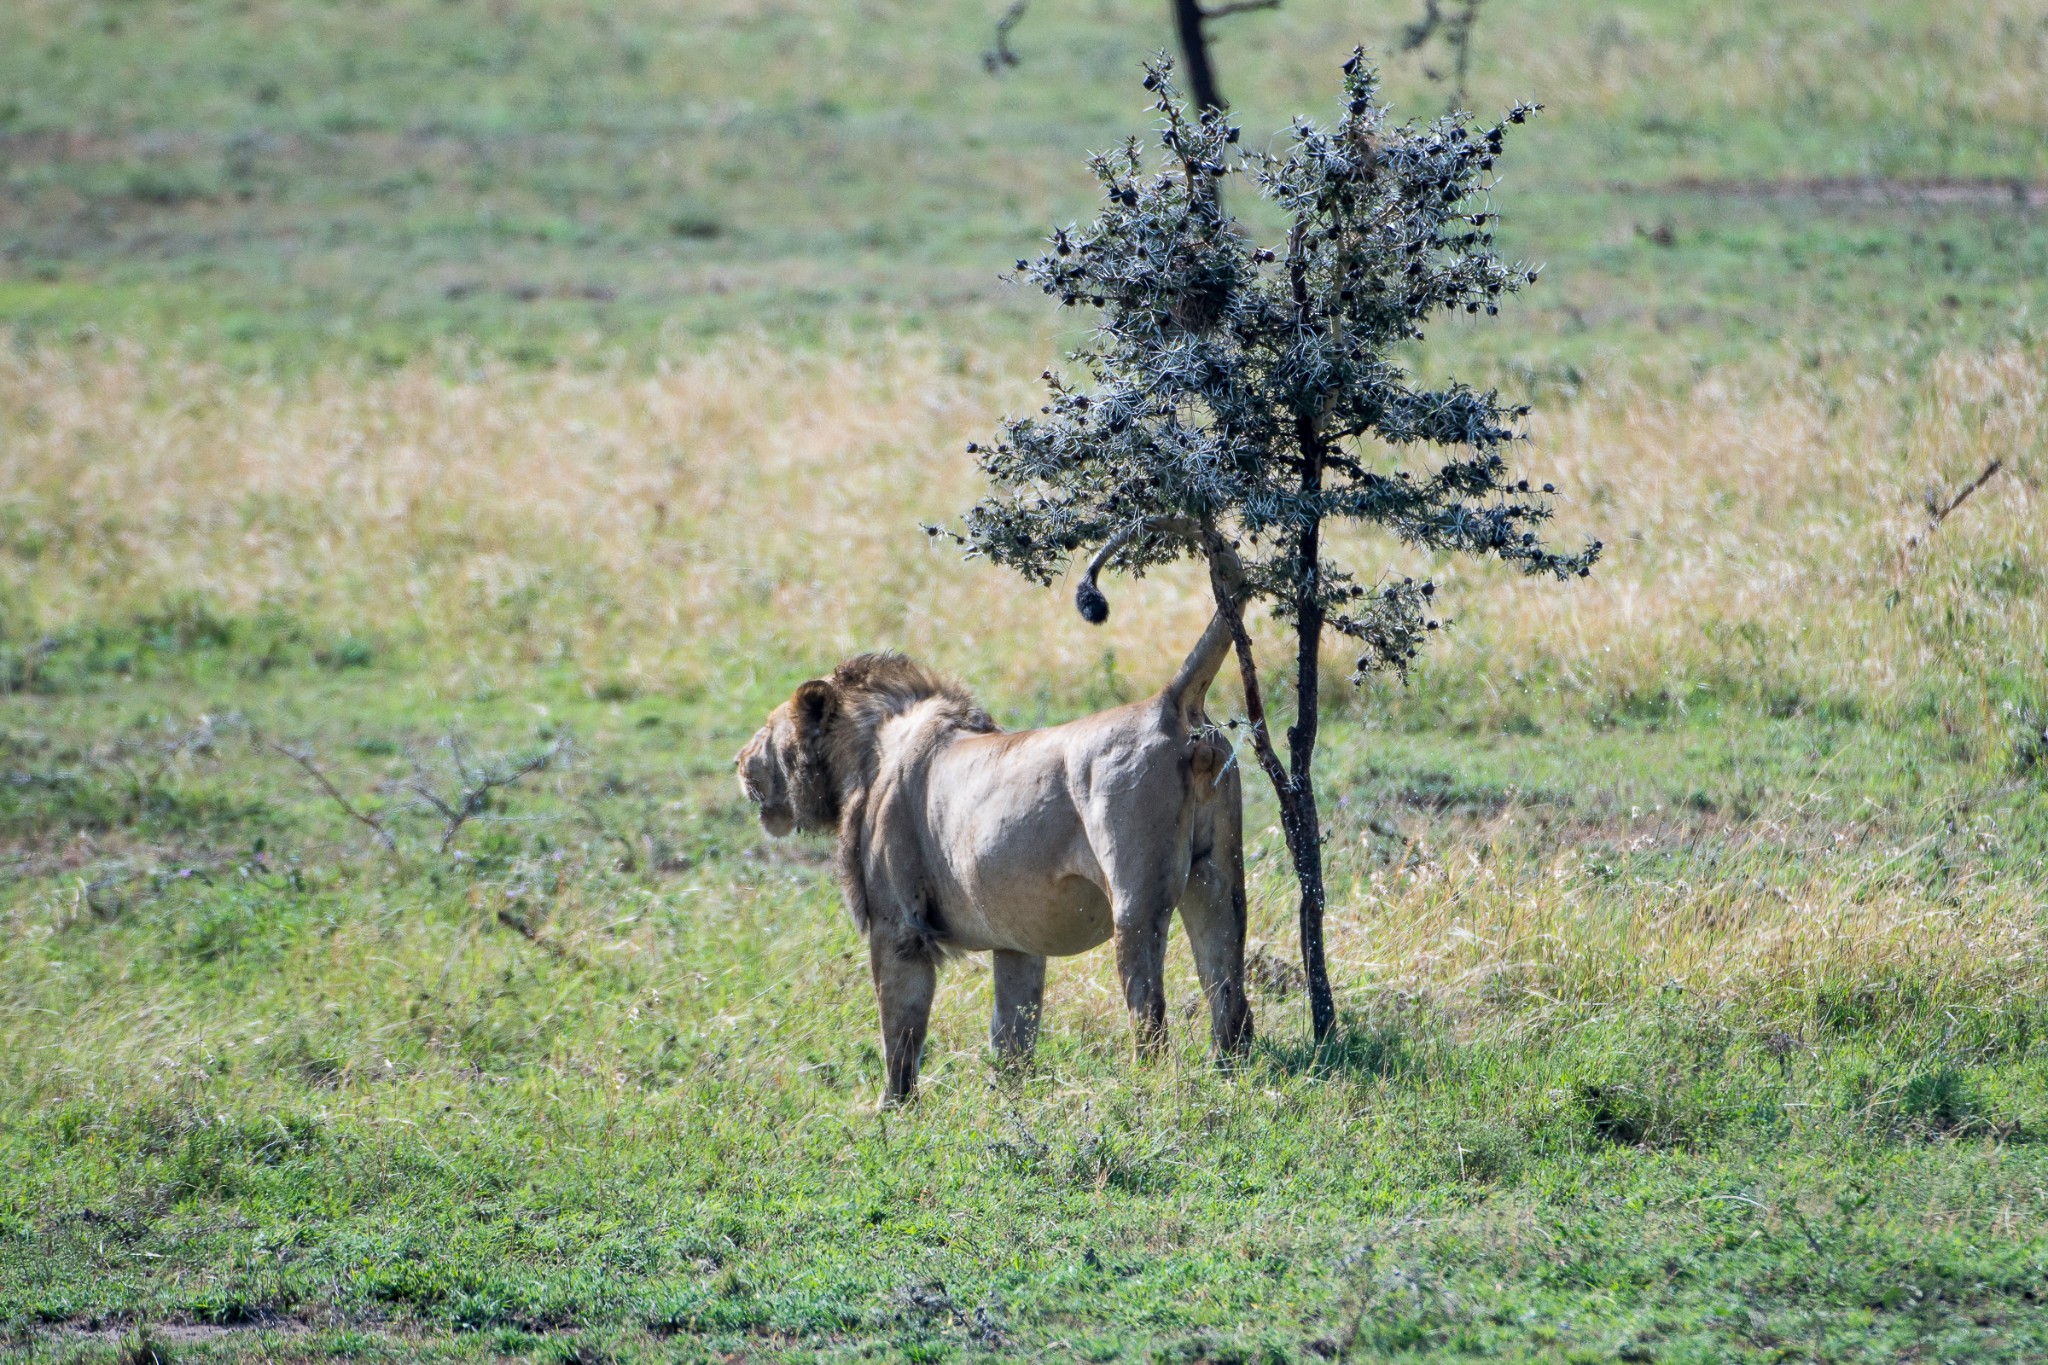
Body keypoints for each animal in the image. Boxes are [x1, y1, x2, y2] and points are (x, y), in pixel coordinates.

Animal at [737, 613, 1245, 1105]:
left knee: (1149, 1008)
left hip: (1135, 899)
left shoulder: (899, 928)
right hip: (1218, 882)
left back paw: (1146, 1086)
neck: (869, 751)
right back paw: (1228, 1074)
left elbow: (900, 1033)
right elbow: (1012, 1031)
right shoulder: (1017, 942)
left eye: (766, 730)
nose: (738, 761)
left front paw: (894, 1110)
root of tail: (1167, 703)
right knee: (1229, 991)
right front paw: (1008, 1099)